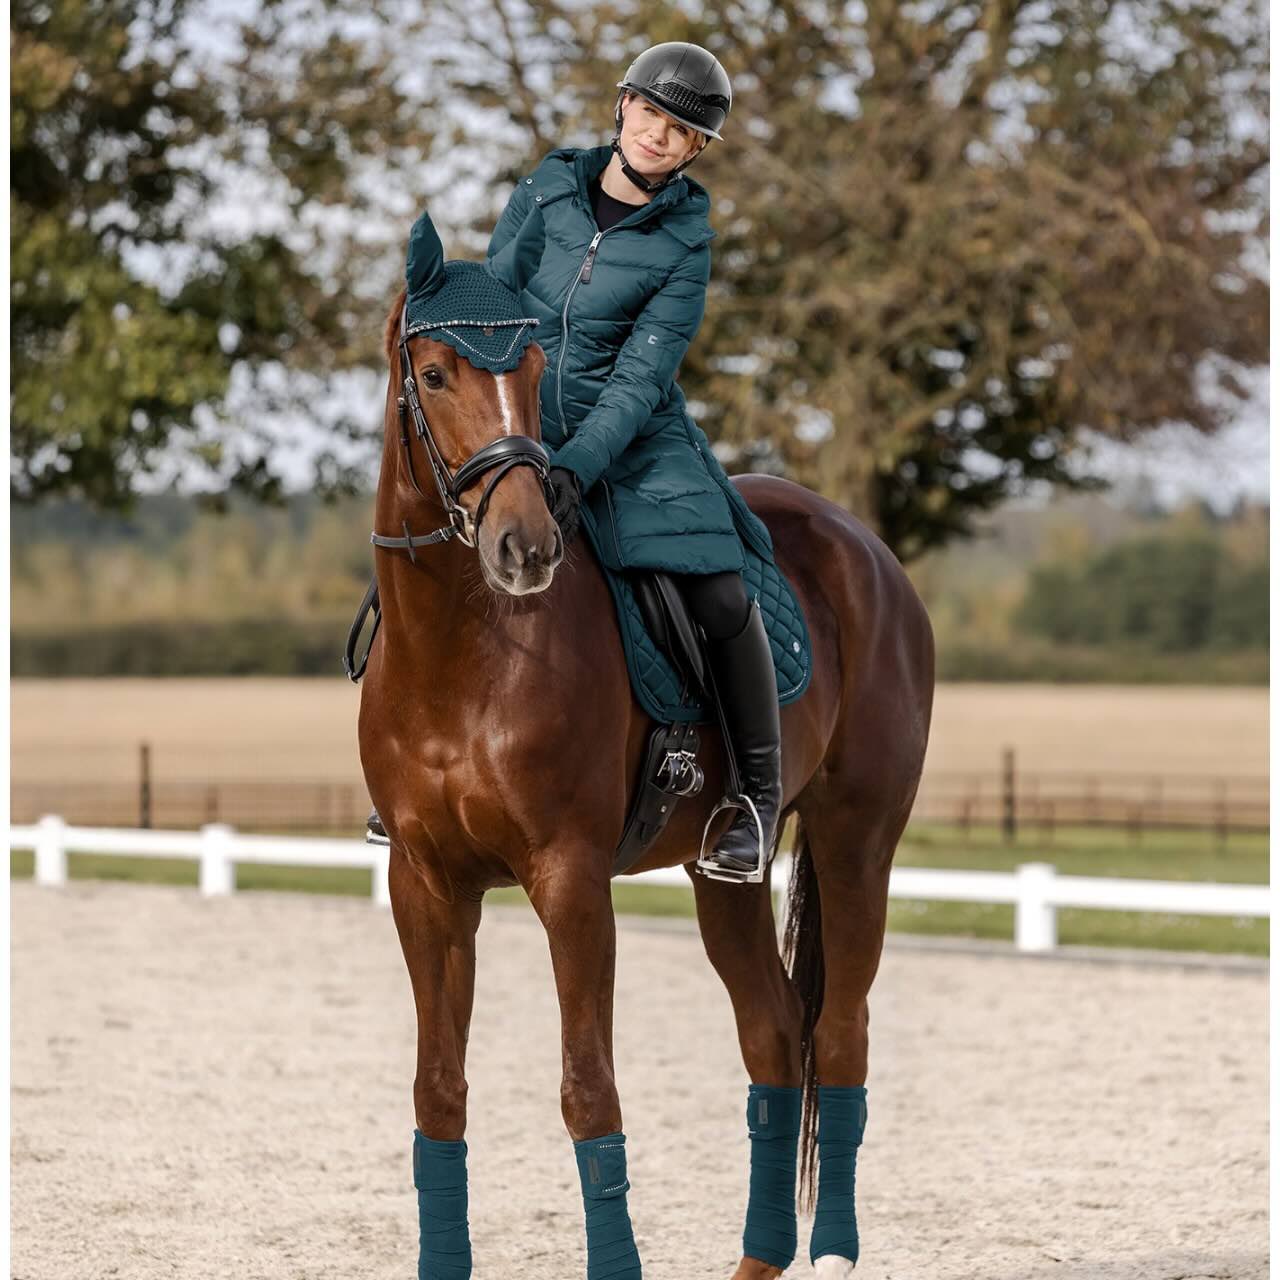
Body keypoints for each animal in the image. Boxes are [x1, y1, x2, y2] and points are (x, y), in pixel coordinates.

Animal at [358, 282, 935, 1280]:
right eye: (432, 375)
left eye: (535, 369)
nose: (525, 547)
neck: (462, 653)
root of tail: (869, 552)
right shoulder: (424, 885)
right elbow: (439, 1091)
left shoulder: (572, 882)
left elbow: (589, 1092)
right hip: (722, 874)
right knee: (774, 1035)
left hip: (857, 844)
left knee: (838, 1035)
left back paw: (831, 1254)